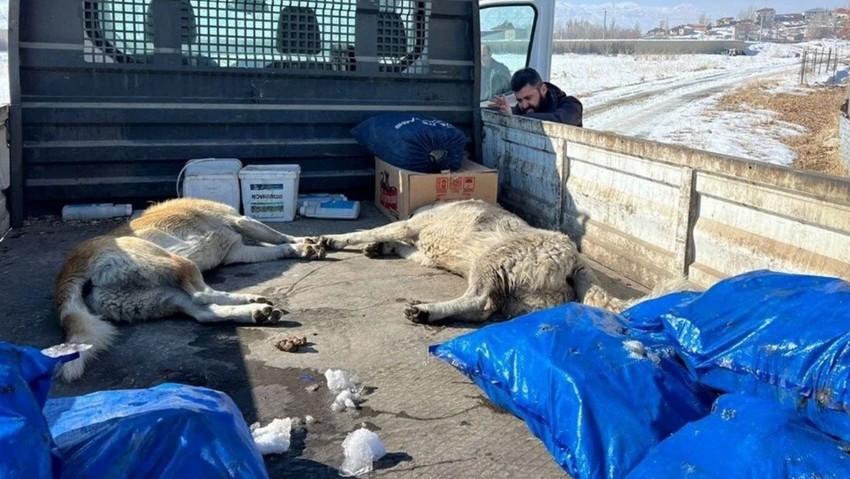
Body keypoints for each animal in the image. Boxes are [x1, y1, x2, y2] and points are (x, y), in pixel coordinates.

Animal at [53, 197, 324, 380]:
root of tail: (71, 269)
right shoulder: (240, 220)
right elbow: (279, 236)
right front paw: (306, 244)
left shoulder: (237, 251)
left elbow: (278, 247)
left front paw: (304, 246)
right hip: (176, 262)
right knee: (204, 294)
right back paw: (253, 302)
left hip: (162, 296)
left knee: (205, 313)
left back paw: (257, 313)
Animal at [318, 199, 628, 322]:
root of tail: (574, 256)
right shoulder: (424, 253)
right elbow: (398, 245)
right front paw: (379, 247)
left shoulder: (409, 226)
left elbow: (370, 231)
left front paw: (331, 240)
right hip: (519, 299)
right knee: (485, 310)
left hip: (489, 263)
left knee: (479, 300)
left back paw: (424, 310)